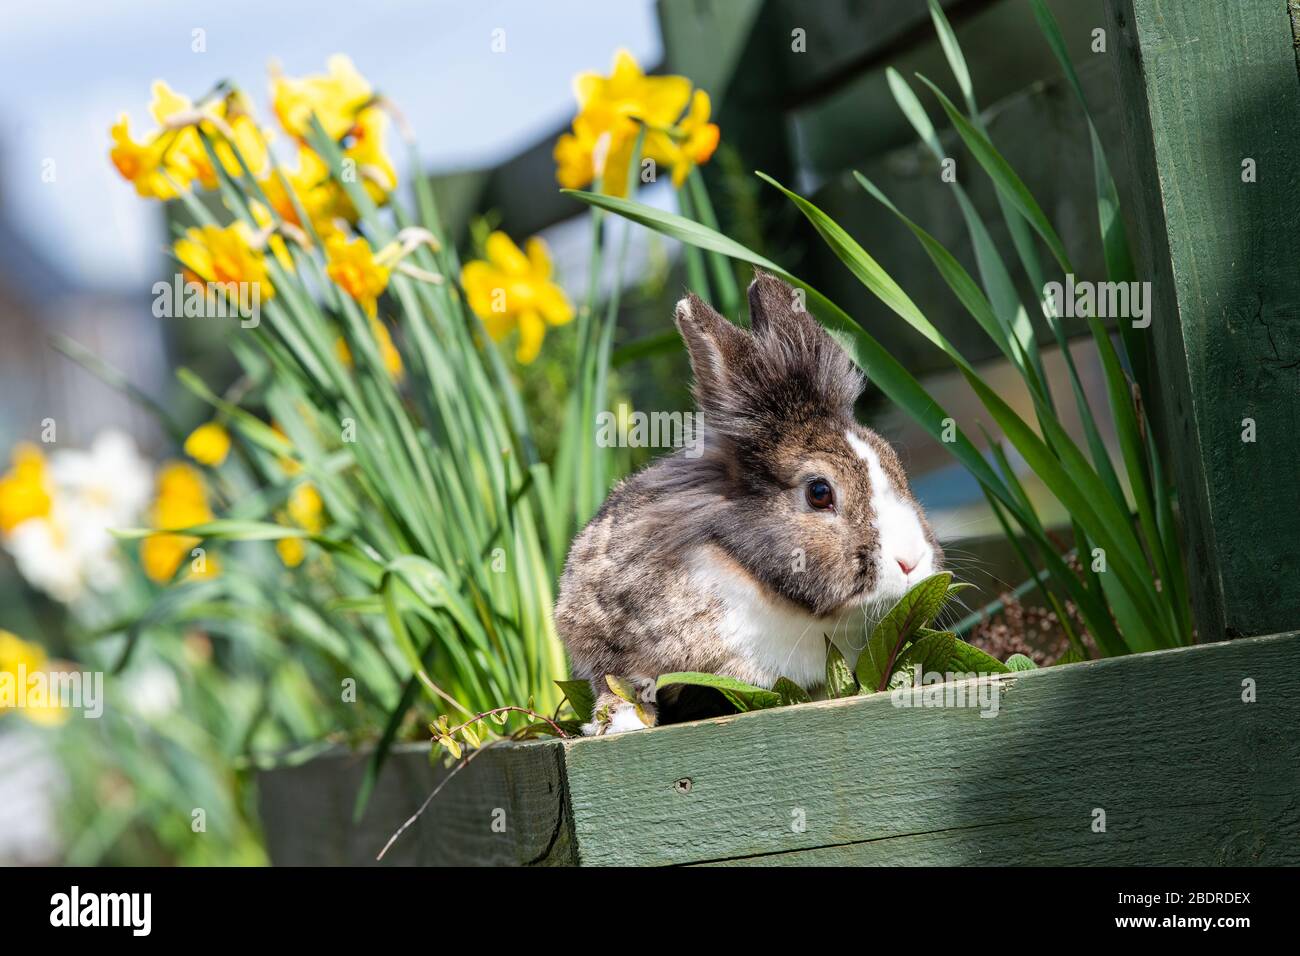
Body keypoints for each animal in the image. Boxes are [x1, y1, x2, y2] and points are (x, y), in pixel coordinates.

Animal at [554, 271, 942, 735]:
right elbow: (617, 681)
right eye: (819, 492)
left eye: (894, 463)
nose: (911, 562)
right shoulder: (599, 628)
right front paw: (621, 725)